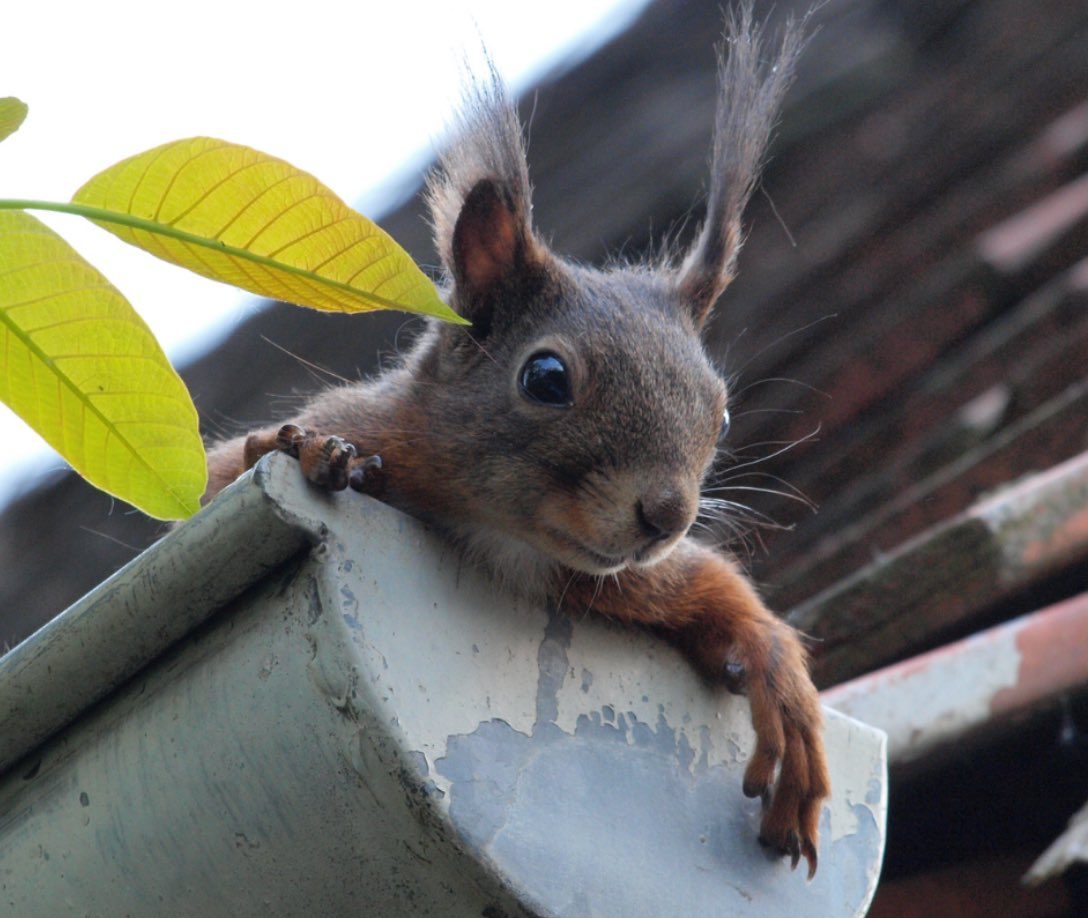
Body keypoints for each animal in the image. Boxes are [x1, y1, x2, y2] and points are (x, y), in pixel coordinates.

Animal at [202, 5, 822, 883]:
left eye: (724, 415)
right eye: (547, 377)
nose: (666, 517)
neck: (504, 534)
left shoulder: (621, 582)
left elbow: (715, 592)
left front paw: (779, 679)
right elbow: (223, 479)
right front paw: (310, 449)